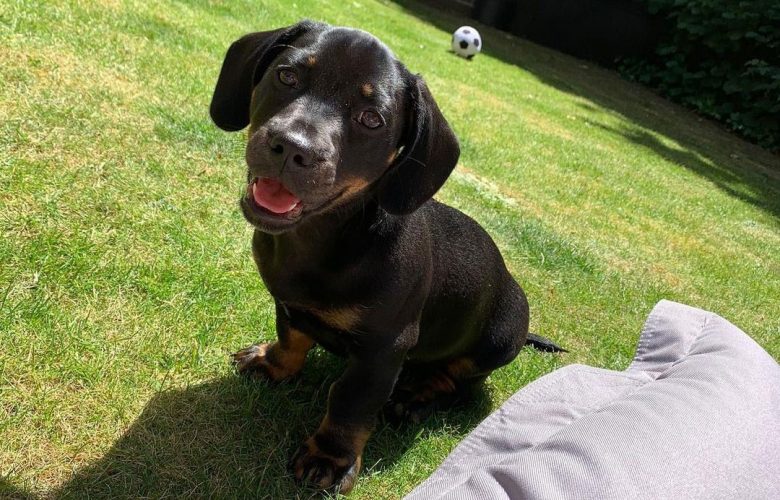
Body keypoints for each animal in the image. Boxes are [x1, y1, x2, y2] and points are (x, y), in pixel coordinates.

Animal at [209, 21, 560, 494]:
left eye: (371, 119)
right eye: (286, 75)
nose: (291, 147)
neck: (325, 239)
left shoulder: (383, 349)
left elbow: (350, 404)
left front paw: (329, 459)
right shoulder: (288, 303)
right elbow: (291, 337)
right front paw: (272, 363)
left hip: (497, 341)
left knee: (457, 380)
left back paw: (415, 395)